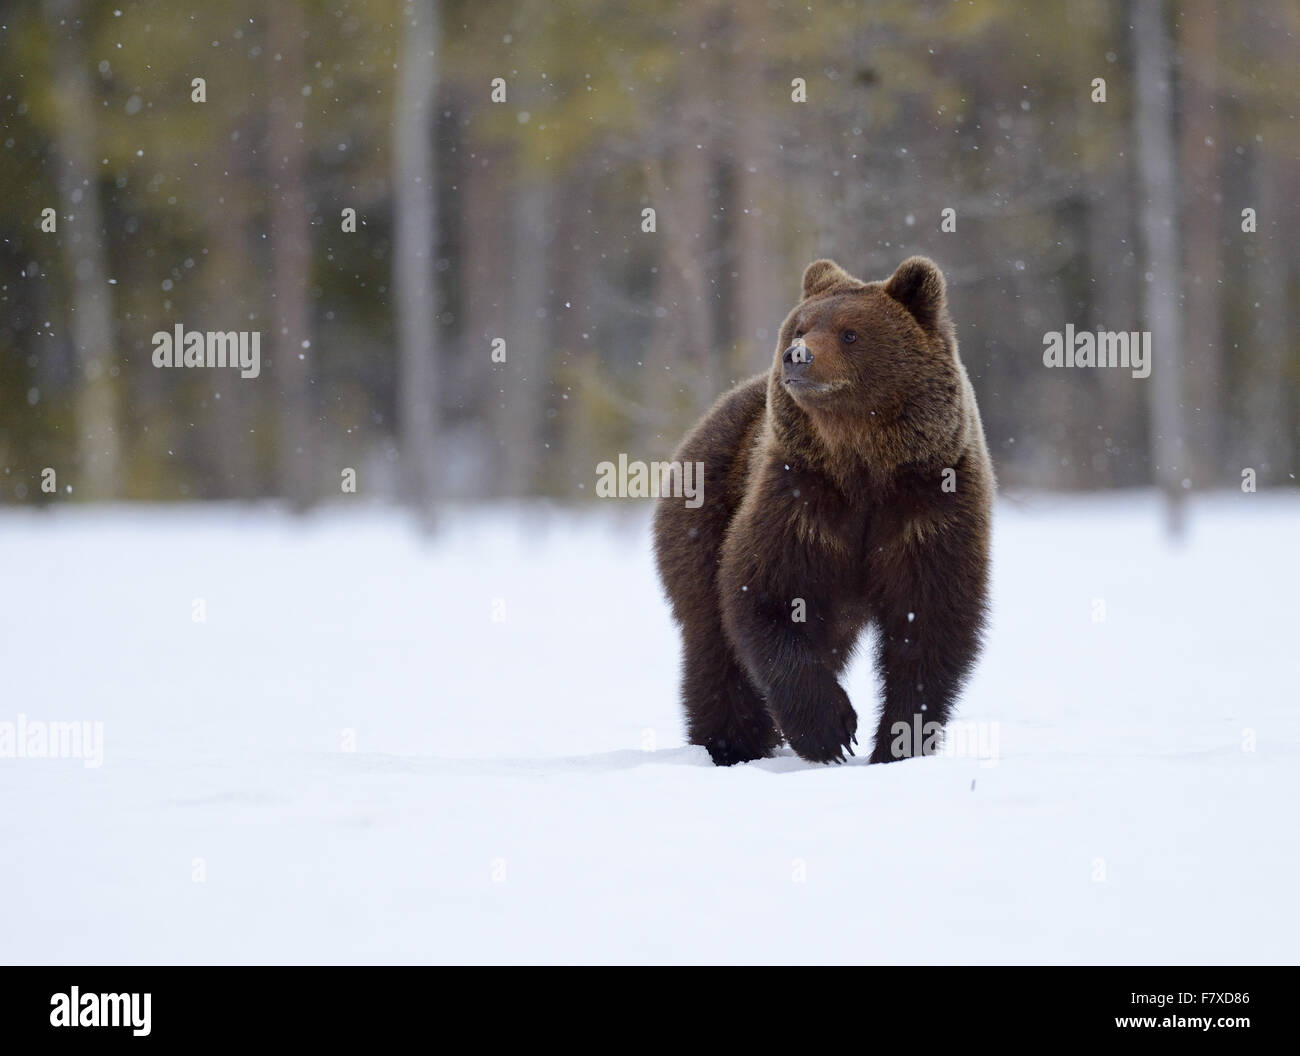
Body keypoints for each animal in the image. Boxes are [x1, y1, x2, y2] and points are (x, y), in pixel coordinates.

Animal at [655, 256, 987, 764]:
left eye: (850, 333)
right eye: (801, 326)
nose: (797, 355)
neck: (863, 463)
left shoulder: (930, 505)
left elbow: (928, 621)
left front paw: (898, 743)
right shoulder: (799, 500)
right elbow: (766, 597)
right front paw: (831, 730)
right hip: (703, 513)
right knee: (714, 646)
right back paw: (731, 744)